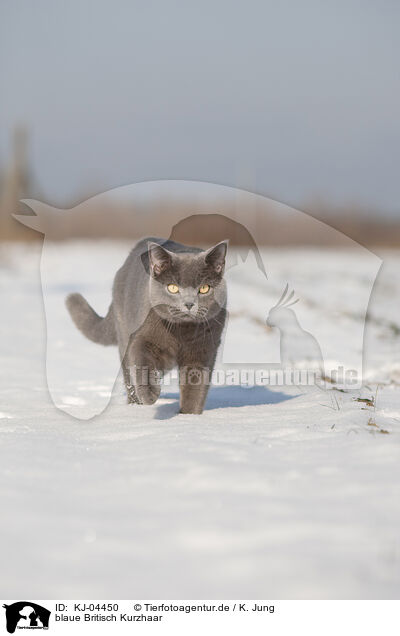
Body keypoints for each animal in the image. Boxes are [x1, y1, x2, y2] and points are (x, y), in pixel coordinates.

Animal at [65, 237, 228, 412]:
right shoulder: (143, 338)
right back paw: (136, 405)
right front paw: (150, 395)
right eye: (173, 287)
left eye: (204, 288)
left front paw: (188, 415)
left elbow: (195, 387)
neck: (182, 332)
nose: (189, 304)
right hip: (125, 335)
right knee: (130, 375)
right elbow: (142, 364)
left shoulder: (203, 350)